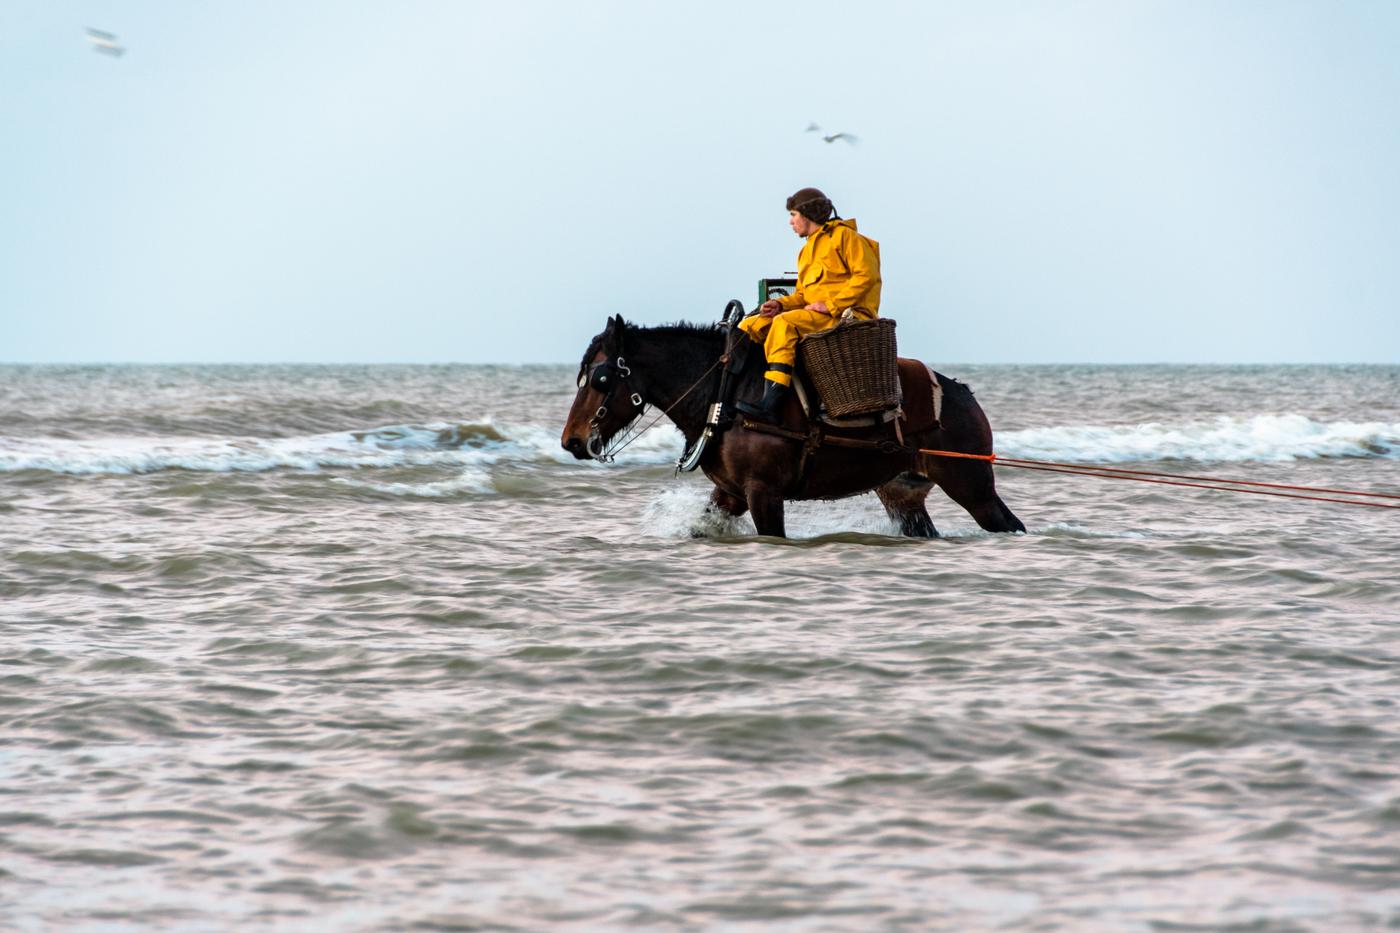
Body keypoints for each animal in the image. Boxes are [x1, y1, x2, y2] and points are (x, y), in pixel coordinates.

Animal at [560, 313, 1030, 537]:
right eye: (580, 375)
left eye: (601, 379)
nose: (572, 441)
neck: (726, 395)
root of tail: (963, 394)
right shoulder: (730, 495)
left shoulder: (763, 493)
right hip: (903, 493)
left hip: (971, 484)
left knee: (1008, 523)